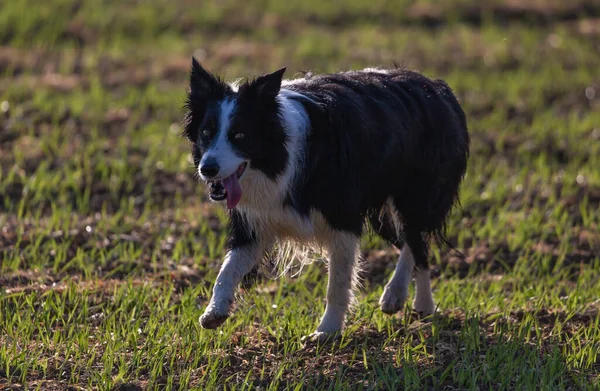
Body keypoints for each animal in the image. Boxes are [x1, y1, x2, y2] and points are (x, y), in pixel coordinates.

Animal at [182, 59, 468, 342]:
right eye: (206, 132)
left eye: (239, 136)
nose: (207, 169)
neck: (278, 158)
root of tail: (436, 86)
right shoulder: (256, 221)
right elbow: (227, 269)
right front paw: (214, 312)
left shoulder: (343, 217)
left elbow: (338, 283)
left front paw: (326, 331)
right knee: (414, 242)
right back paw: (405, 300)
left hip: (417, 192)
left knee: (416, 240)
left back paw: (414, 300)